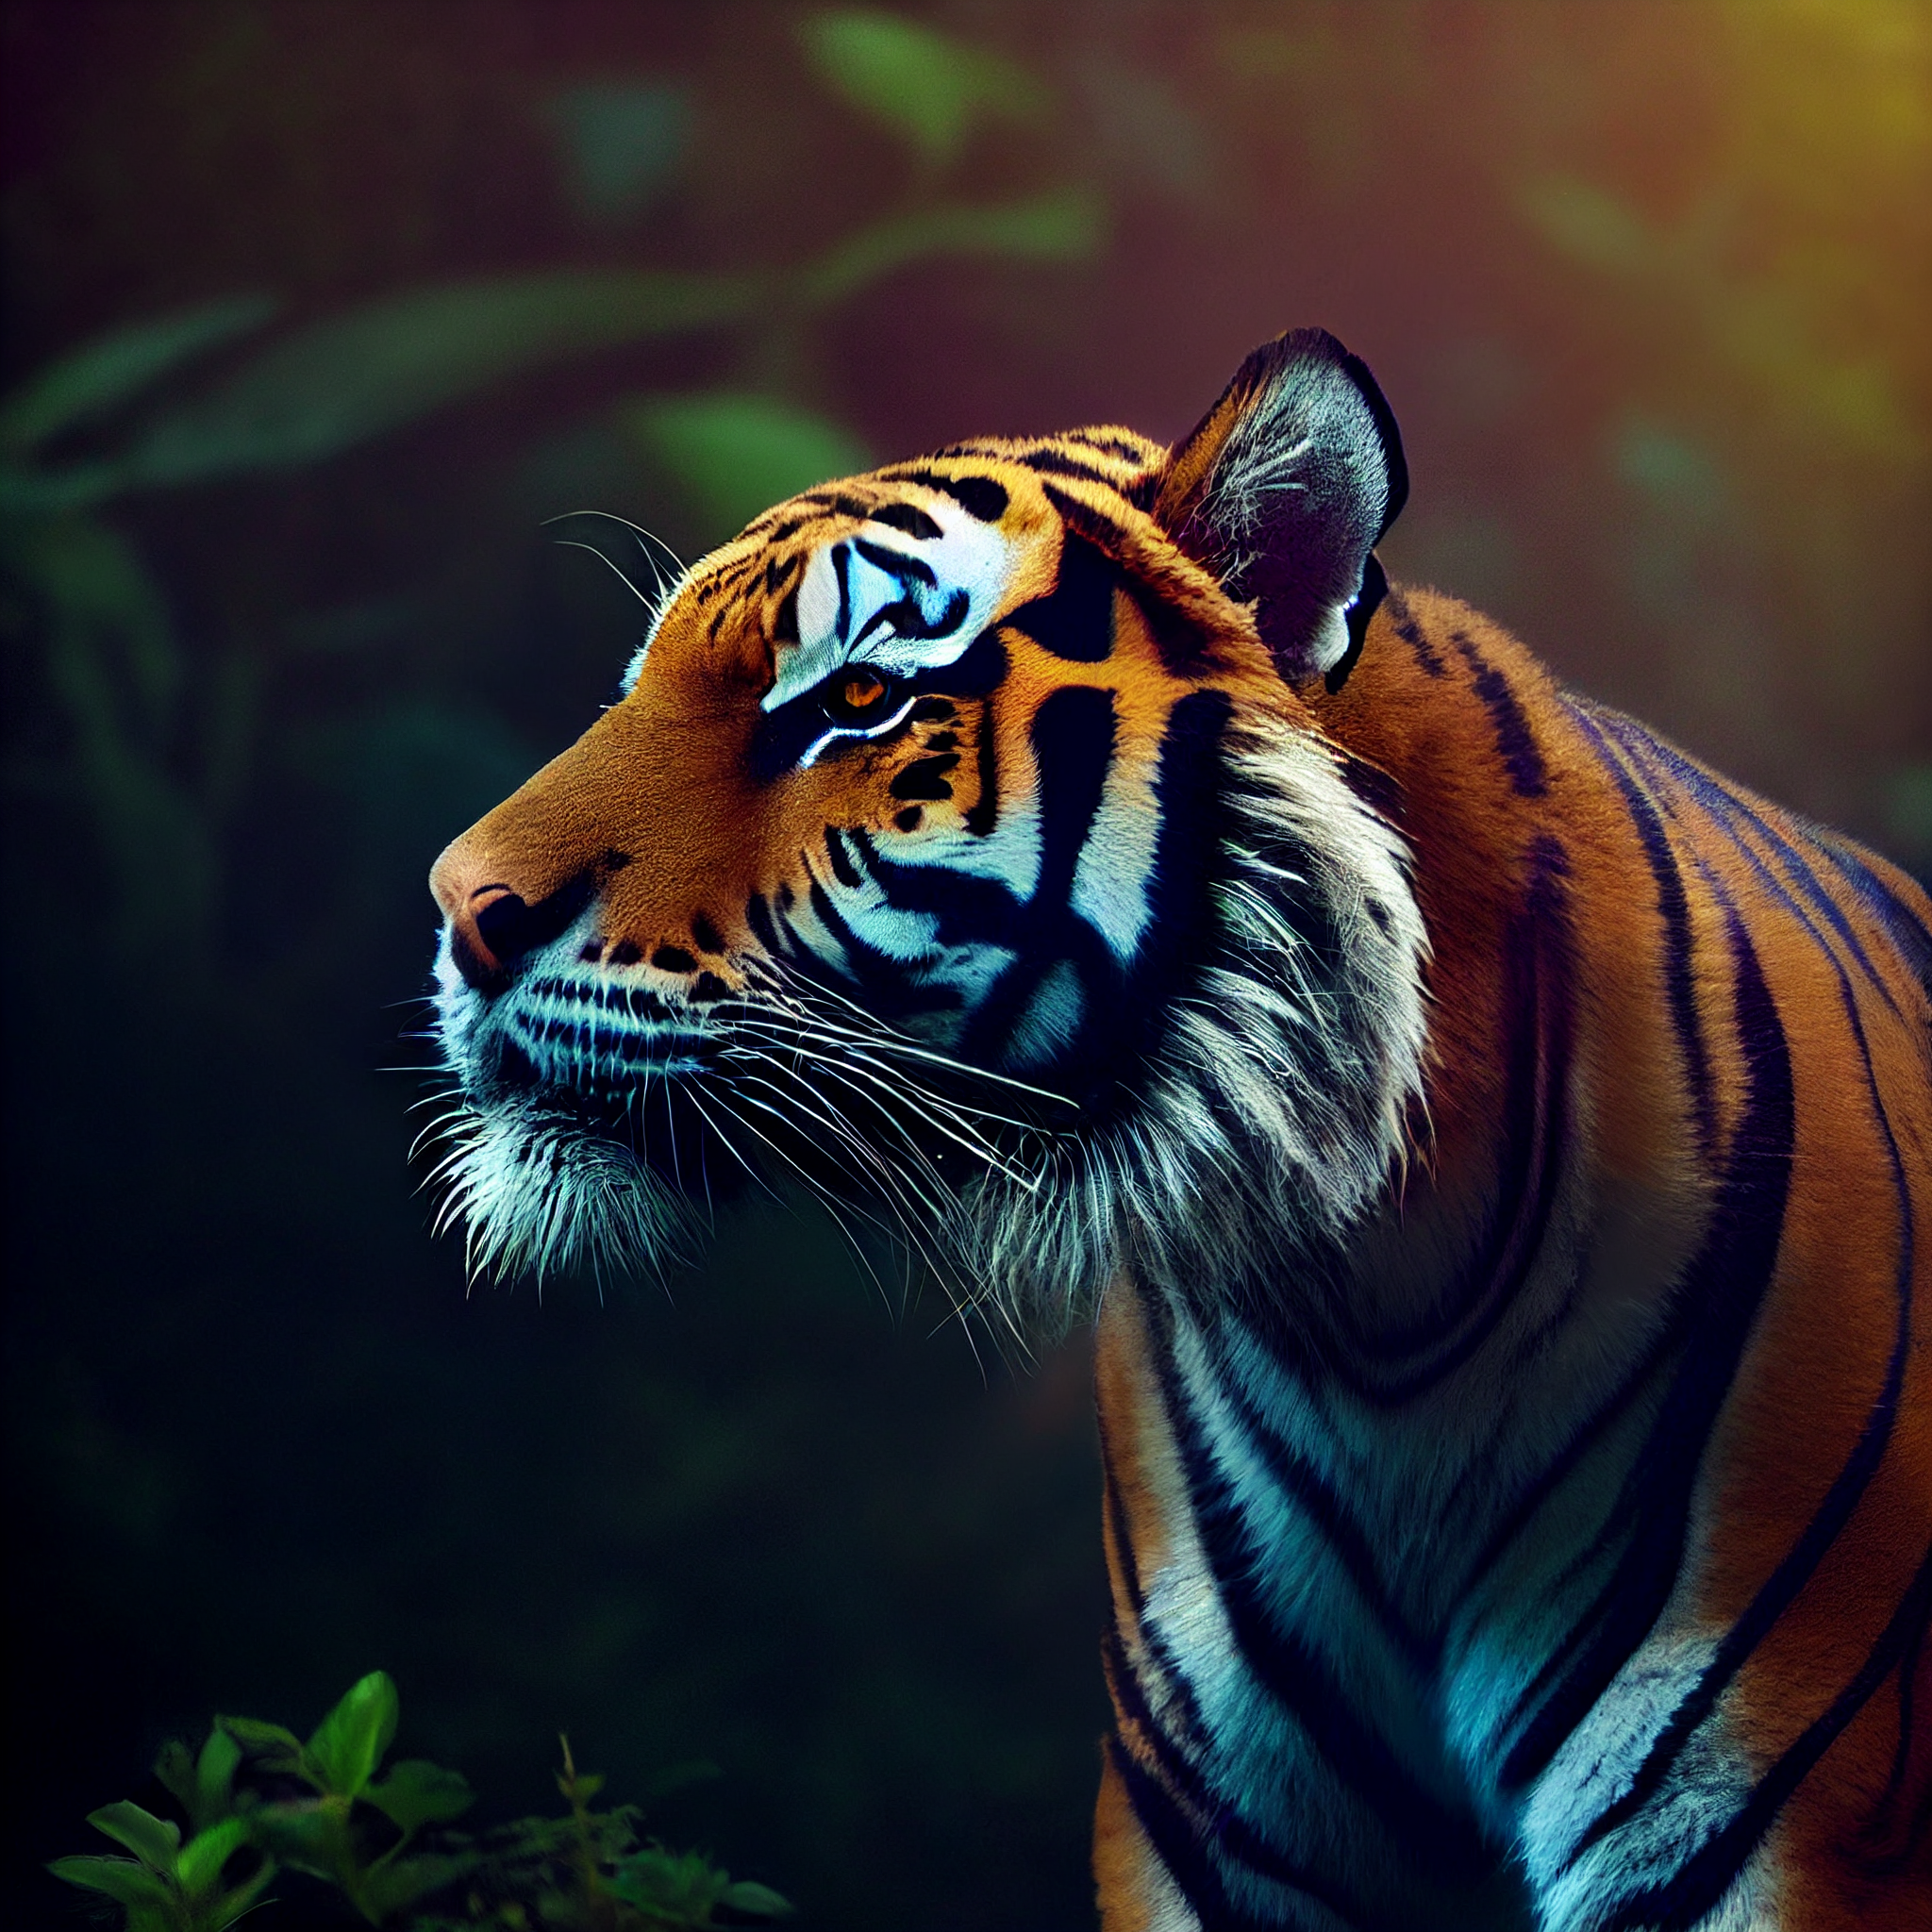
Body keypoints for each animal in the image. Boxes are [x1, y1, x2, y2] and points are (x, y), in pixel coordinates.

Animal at [426, 328, 1932, 1930]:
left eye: (859, 702)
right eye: (635, 688)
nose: (458, 907)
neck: (1369, 1292)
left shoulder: (1774, 1810)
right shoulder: (1213, 1819)